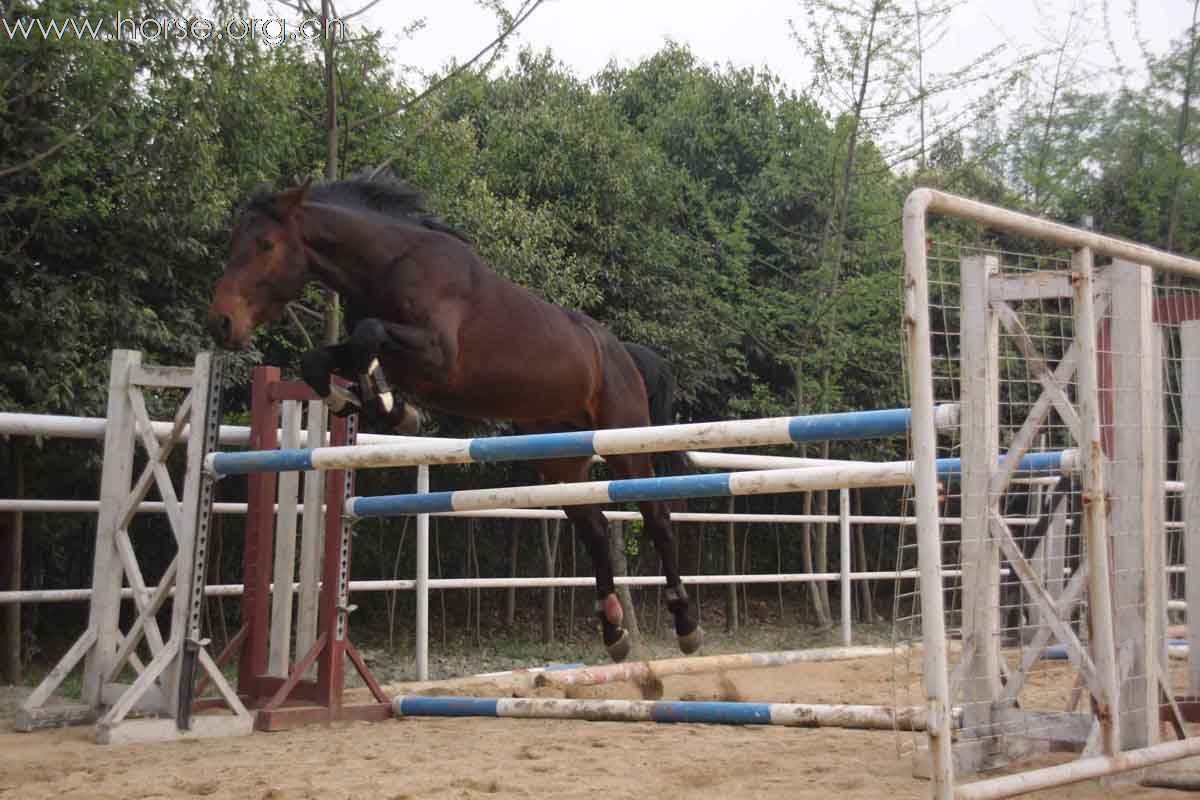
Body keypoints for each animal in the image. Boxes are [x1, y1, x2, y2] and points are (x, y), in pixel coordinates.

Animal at [201, 175, 700, 662]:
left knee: (657, 518)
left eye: (265, 244)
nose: (221, 323)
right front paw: (373, 403)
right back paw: (614, 630)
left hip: (623, 441)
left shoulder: (436, 355)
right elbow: (322, 360)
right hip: (561, 455)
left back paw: (685, 624)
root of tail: (624, 353)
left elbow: (368, 335)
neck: (390, 265)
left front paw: (391, 406)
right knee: (594, 529)